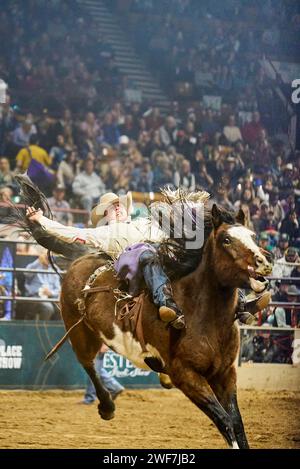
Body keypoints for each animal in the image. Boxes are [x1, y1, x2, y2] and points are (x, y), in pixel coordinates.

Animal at [55, 203, 272, 448]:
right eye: (226, 239)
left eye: (252, 236)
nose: (264, 262)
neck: (203, 317)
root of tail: (78, 263)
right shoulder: (185, 374)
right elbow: (224, 420)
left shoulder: (225, 373)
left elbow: (237, 423)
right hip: (80, 333)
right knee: (88, 364)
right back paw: (107, 406)